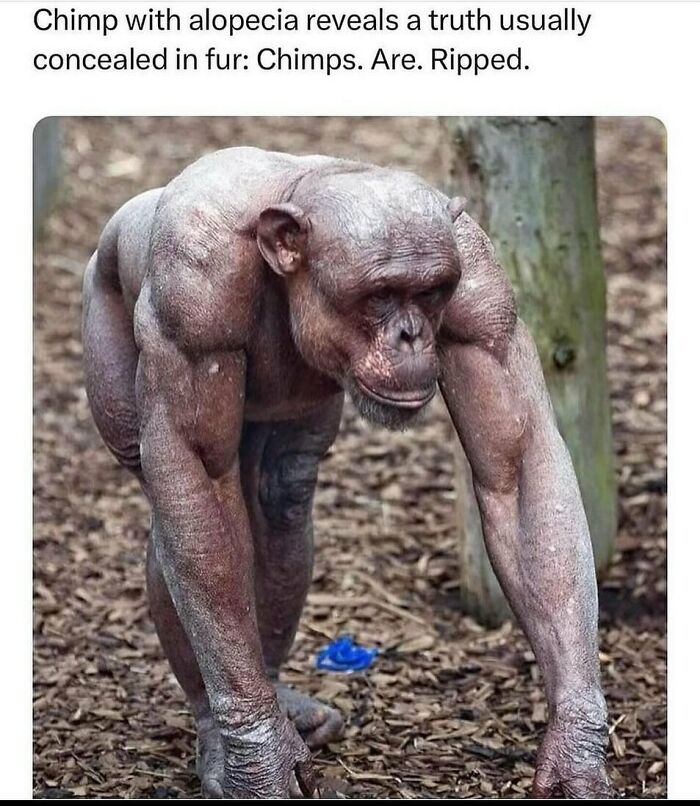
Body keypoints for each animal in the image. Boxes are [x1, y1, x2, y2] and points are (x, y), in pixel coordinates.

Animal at [82, 146, 611, 798]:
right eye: (381, 294)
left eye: (431, 291)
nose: (411, 334)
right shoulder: (192, 296)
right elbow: (197, 474)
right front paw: (259, 758)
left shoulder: (483, 296)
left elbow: (515, 466)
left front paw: (575, 751)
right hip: (103, 317)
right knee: (179, 512)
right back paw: (221, 734)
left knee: (281, 496)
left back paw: (279, 697)